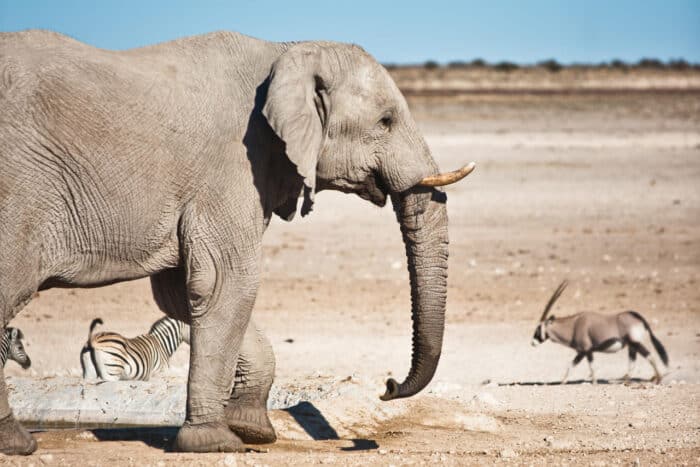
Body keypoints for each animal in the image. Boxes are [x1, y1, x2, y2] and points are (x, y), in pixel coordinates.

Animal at [0, 28, 474, 454]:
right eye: (385, 121)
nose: (388, 385)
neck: (285, 51)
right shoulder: (232, 165)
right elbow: (227, 285)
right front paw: (215, 442)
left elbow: (183, 293)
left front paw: (253, 432)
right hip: (20, 195)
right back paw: (19, 444)